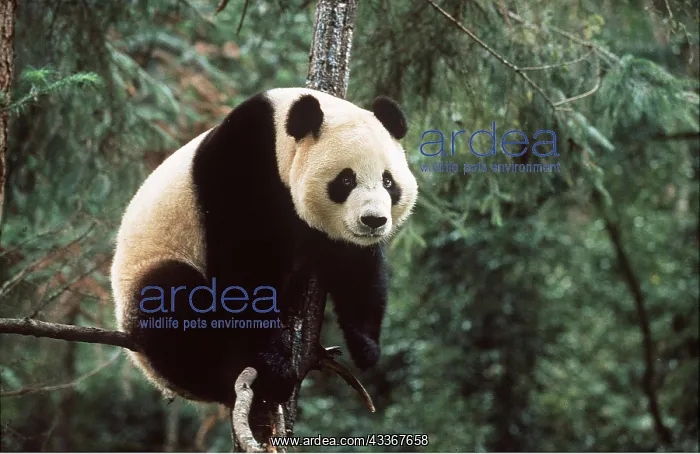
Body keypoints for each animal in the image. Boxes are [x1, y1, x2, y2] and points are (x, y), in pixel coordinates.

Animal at [111, 87, 418, 406]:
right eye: (346, 179)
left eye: (388, 181)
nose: (373, 220)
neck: (278, 136)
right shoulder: (240, 168)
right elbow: (244, 270)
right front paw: (272, 365)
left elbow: (356, 267)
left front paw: (366, 347)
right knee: (170, 300)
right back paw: (230, 374)